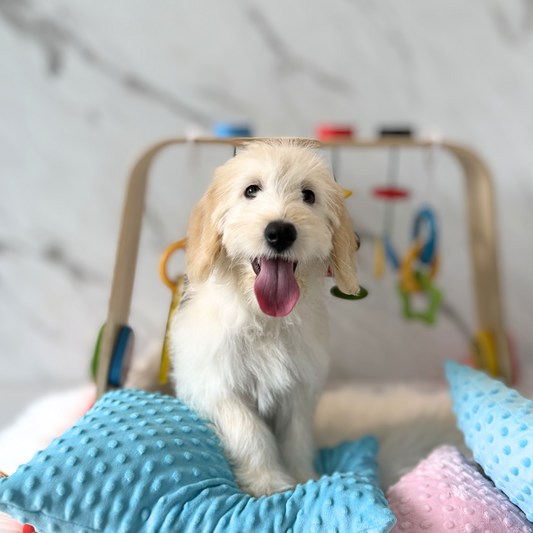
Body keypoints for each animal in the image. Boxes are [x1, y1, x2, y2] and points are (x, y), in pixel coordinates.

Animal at [168, 137, 360, 494]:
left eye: (309, 195)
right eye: (251, 190)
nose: (280, 232)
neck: (266, 319)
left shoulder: (299, 388)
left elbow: (297, 437)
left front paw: (302, 476)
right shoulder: (215, 385)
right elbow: (249, 432)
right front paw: (267, 482)